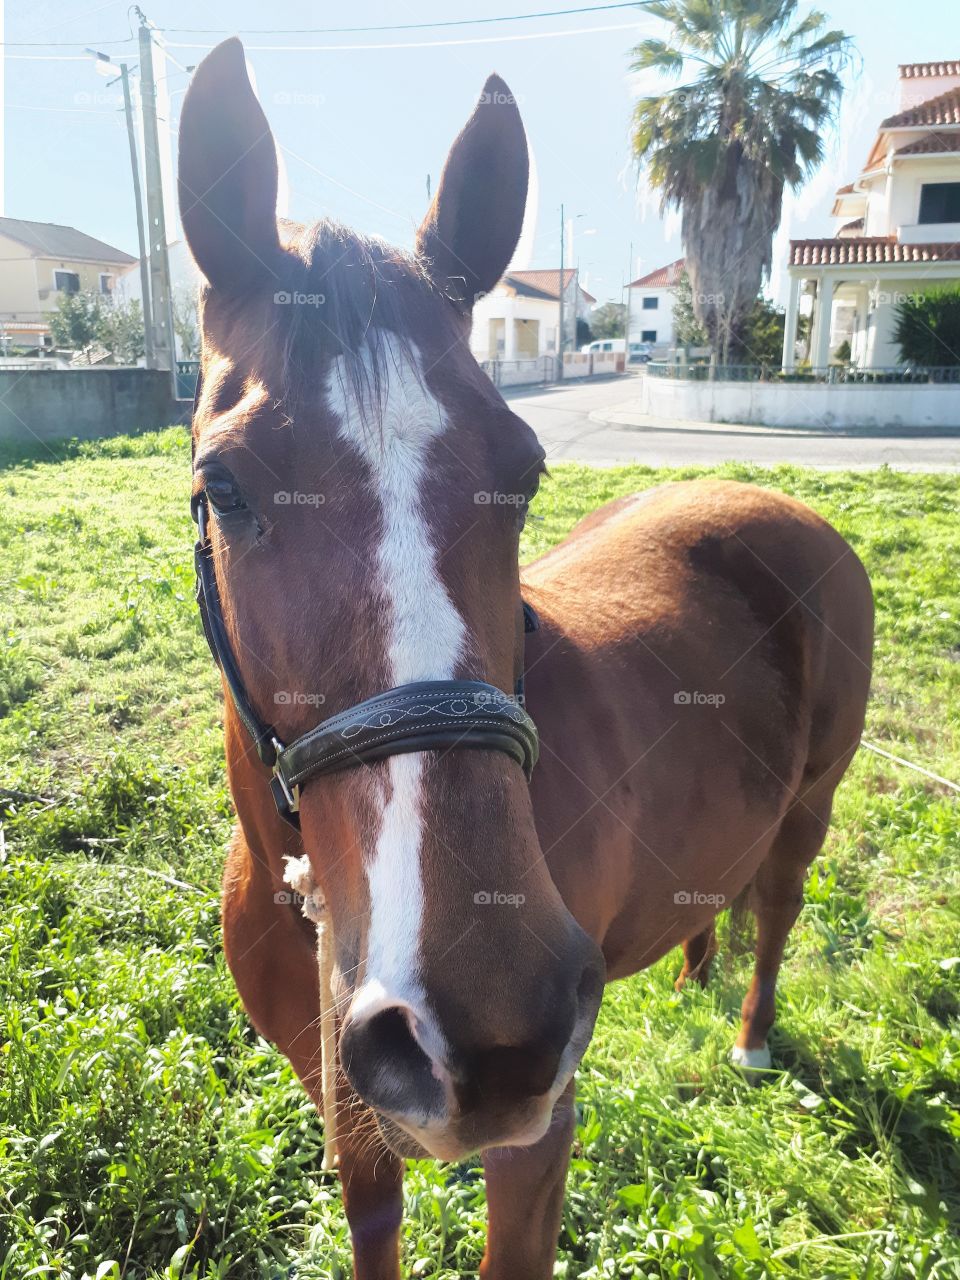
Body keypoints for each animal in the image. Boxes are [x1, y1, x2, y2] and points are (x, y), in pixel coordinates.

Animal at [178, 39, 873, 1280]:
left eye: (527, 468)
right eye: (227, 484)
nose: (492, 1031)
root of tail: (782, 503)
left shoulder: (535, 1142)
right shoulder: (356, 1134)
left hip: (814, 801)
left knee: (782, 901)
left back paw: (747, 1036)